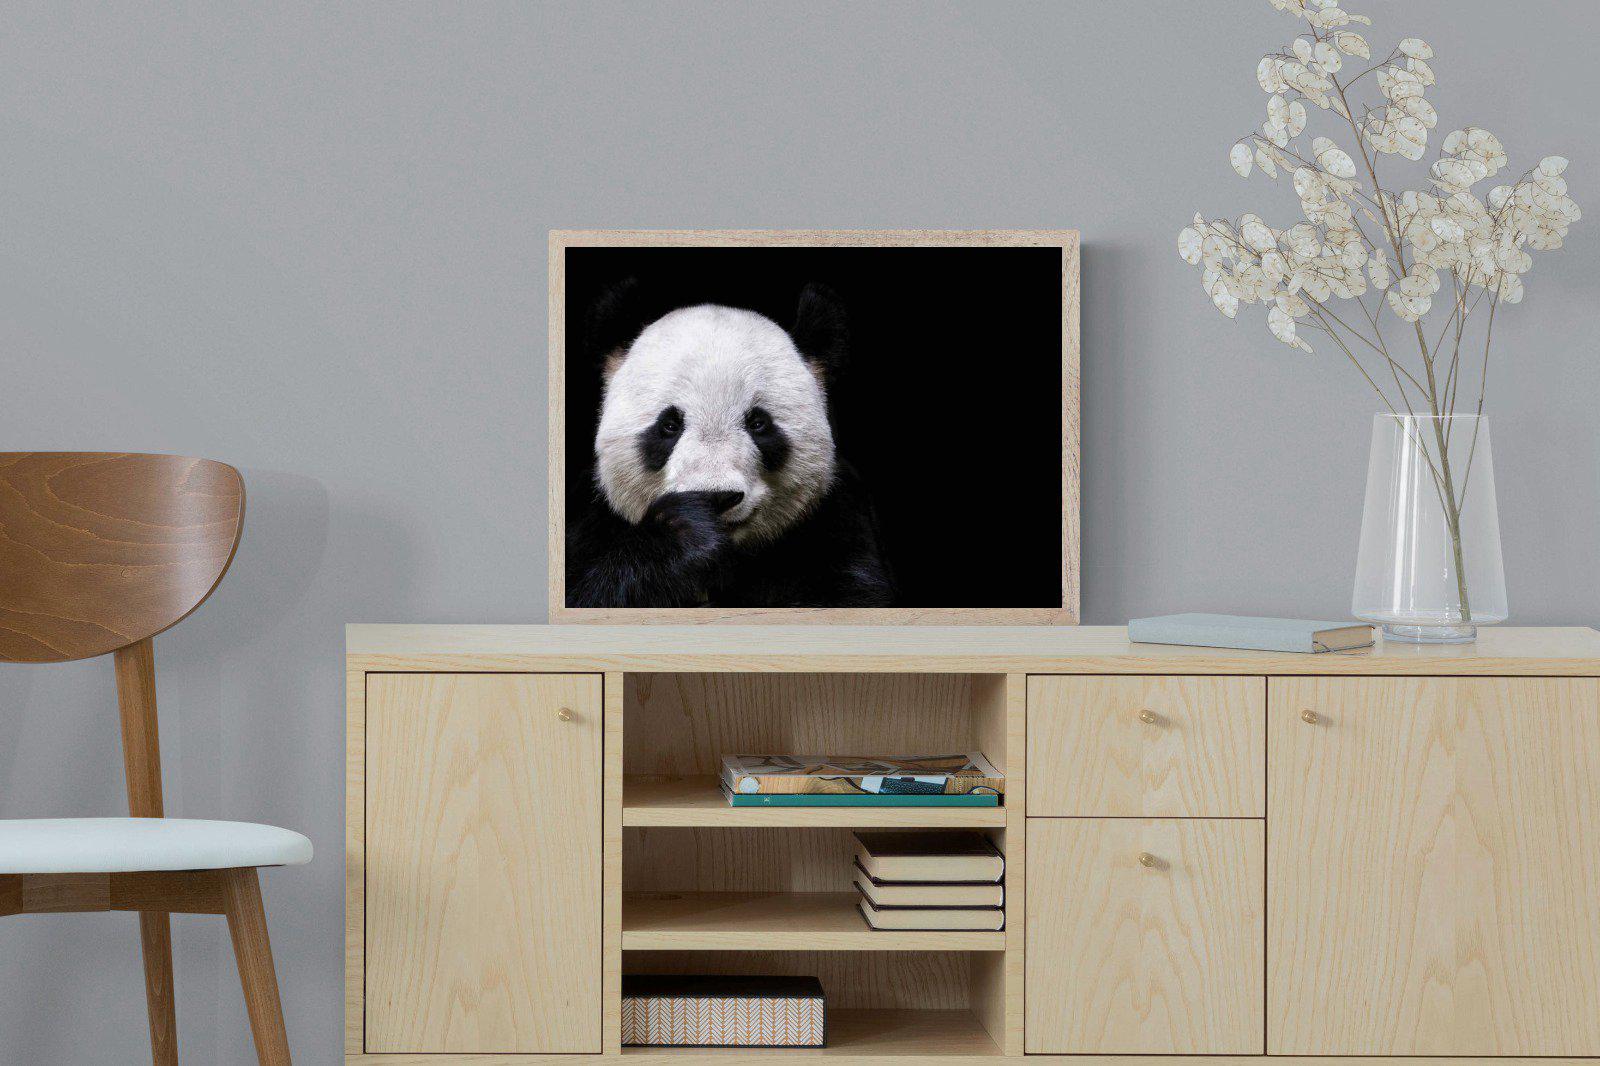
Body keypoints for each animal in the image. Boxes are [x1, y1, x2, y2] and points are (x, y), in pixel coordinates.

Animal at [566, 279, 895, 608]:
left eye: (758, 423)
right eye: (669, 425)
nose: (717, 496)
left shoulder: (838, 521)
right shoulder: (591, 521)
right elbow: (589, 591)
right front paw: (685, 532)